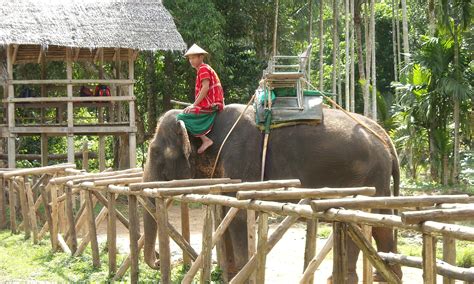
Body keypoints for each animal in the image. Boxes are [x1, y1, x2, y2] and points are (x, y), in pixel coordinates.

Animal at [143, 103, 402, 282]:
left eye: (155, 152)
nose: (158, 258)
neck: (207, 123)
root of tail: (385, 138)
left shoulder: (242, 160)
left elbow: (238, 215)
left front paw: (241, 276)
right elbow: (225, 212)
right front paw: (229, 275)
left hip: (365, 176)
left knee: (360, 219)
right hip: (375, 179)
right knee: (378, 222)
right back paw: (385, 277)